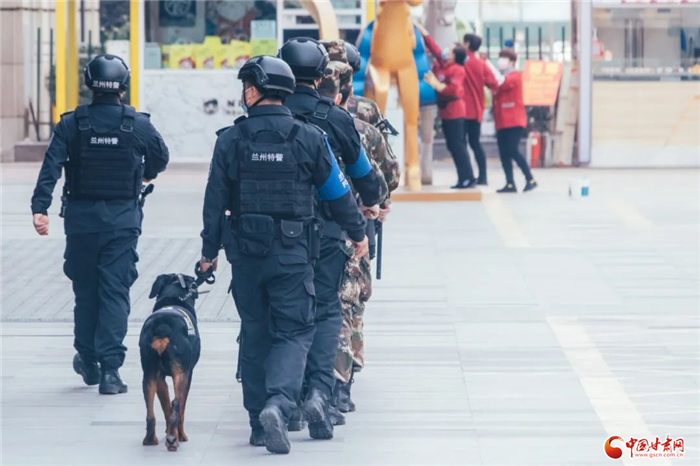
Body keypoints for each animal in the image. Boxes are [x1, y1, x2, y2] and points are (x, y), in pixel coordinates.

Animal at [140, 273, 208, 451]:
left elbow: (165, 406)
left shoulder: (160, 378)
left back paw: (151, 439)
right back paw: (174, 439)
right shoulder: (188, 373)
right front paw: (179, 435)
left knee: (151, 413)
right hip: (182, 374)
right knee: (177, 403)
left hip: (149, 373)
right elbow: (179, 408)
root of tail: (162, 325)